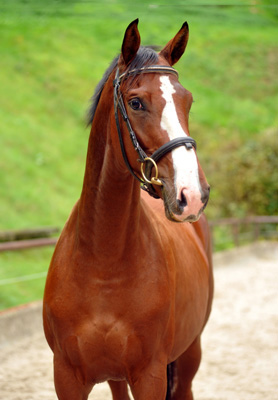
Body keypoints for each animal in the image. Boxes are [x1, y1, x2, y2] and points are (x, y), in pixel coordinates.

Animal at [43, 19, 213, 400]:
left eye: (188, 101)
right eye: (136, 103)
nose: (192, 195)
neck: (103, 264)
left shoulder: (150, 376)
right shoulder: (68, 378)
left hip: (189, 355)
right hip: (116, 376)